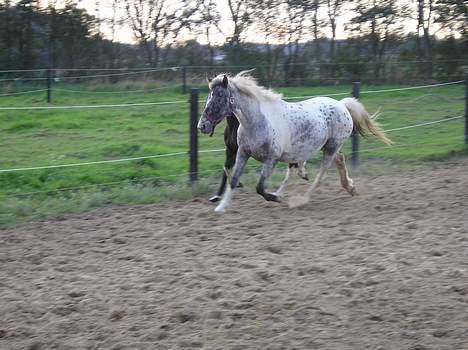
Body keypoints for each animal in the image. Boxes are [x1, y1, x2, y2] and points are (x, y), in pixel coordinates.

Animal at [197, 71, 392, 212]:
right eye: (208, 97)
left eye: (219, 97)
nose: (202, 126)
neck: (256, 122)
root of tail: (342, 105)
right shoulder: (242, 153)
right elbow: (233, 179)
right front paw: (221, 207)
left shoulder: (271, 159)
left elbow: (260, 187)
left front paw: (277, 198)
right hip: (329, 147)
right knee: (340, 161)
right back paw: (350, 187)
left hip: (330, 148)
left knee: (320, 175)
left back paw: (302, 200)